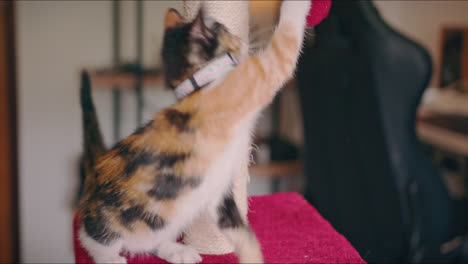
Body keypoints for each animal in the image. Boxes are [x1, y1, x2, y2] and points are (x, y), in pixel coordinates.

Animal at [77, 1, 310, 262]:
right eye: (224, 30)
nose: (242, 40)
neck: (201, 83)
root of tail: (94, 173)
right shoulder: (260, 73)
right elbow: (285, 43)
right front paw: (298, 5)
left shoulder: (218, 190)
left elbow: (239, 230)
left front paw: (252, 256)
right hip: (112, 217)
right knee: (92, 236)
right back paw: (110, 257)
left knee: (150, 242)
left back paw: (177, 251)